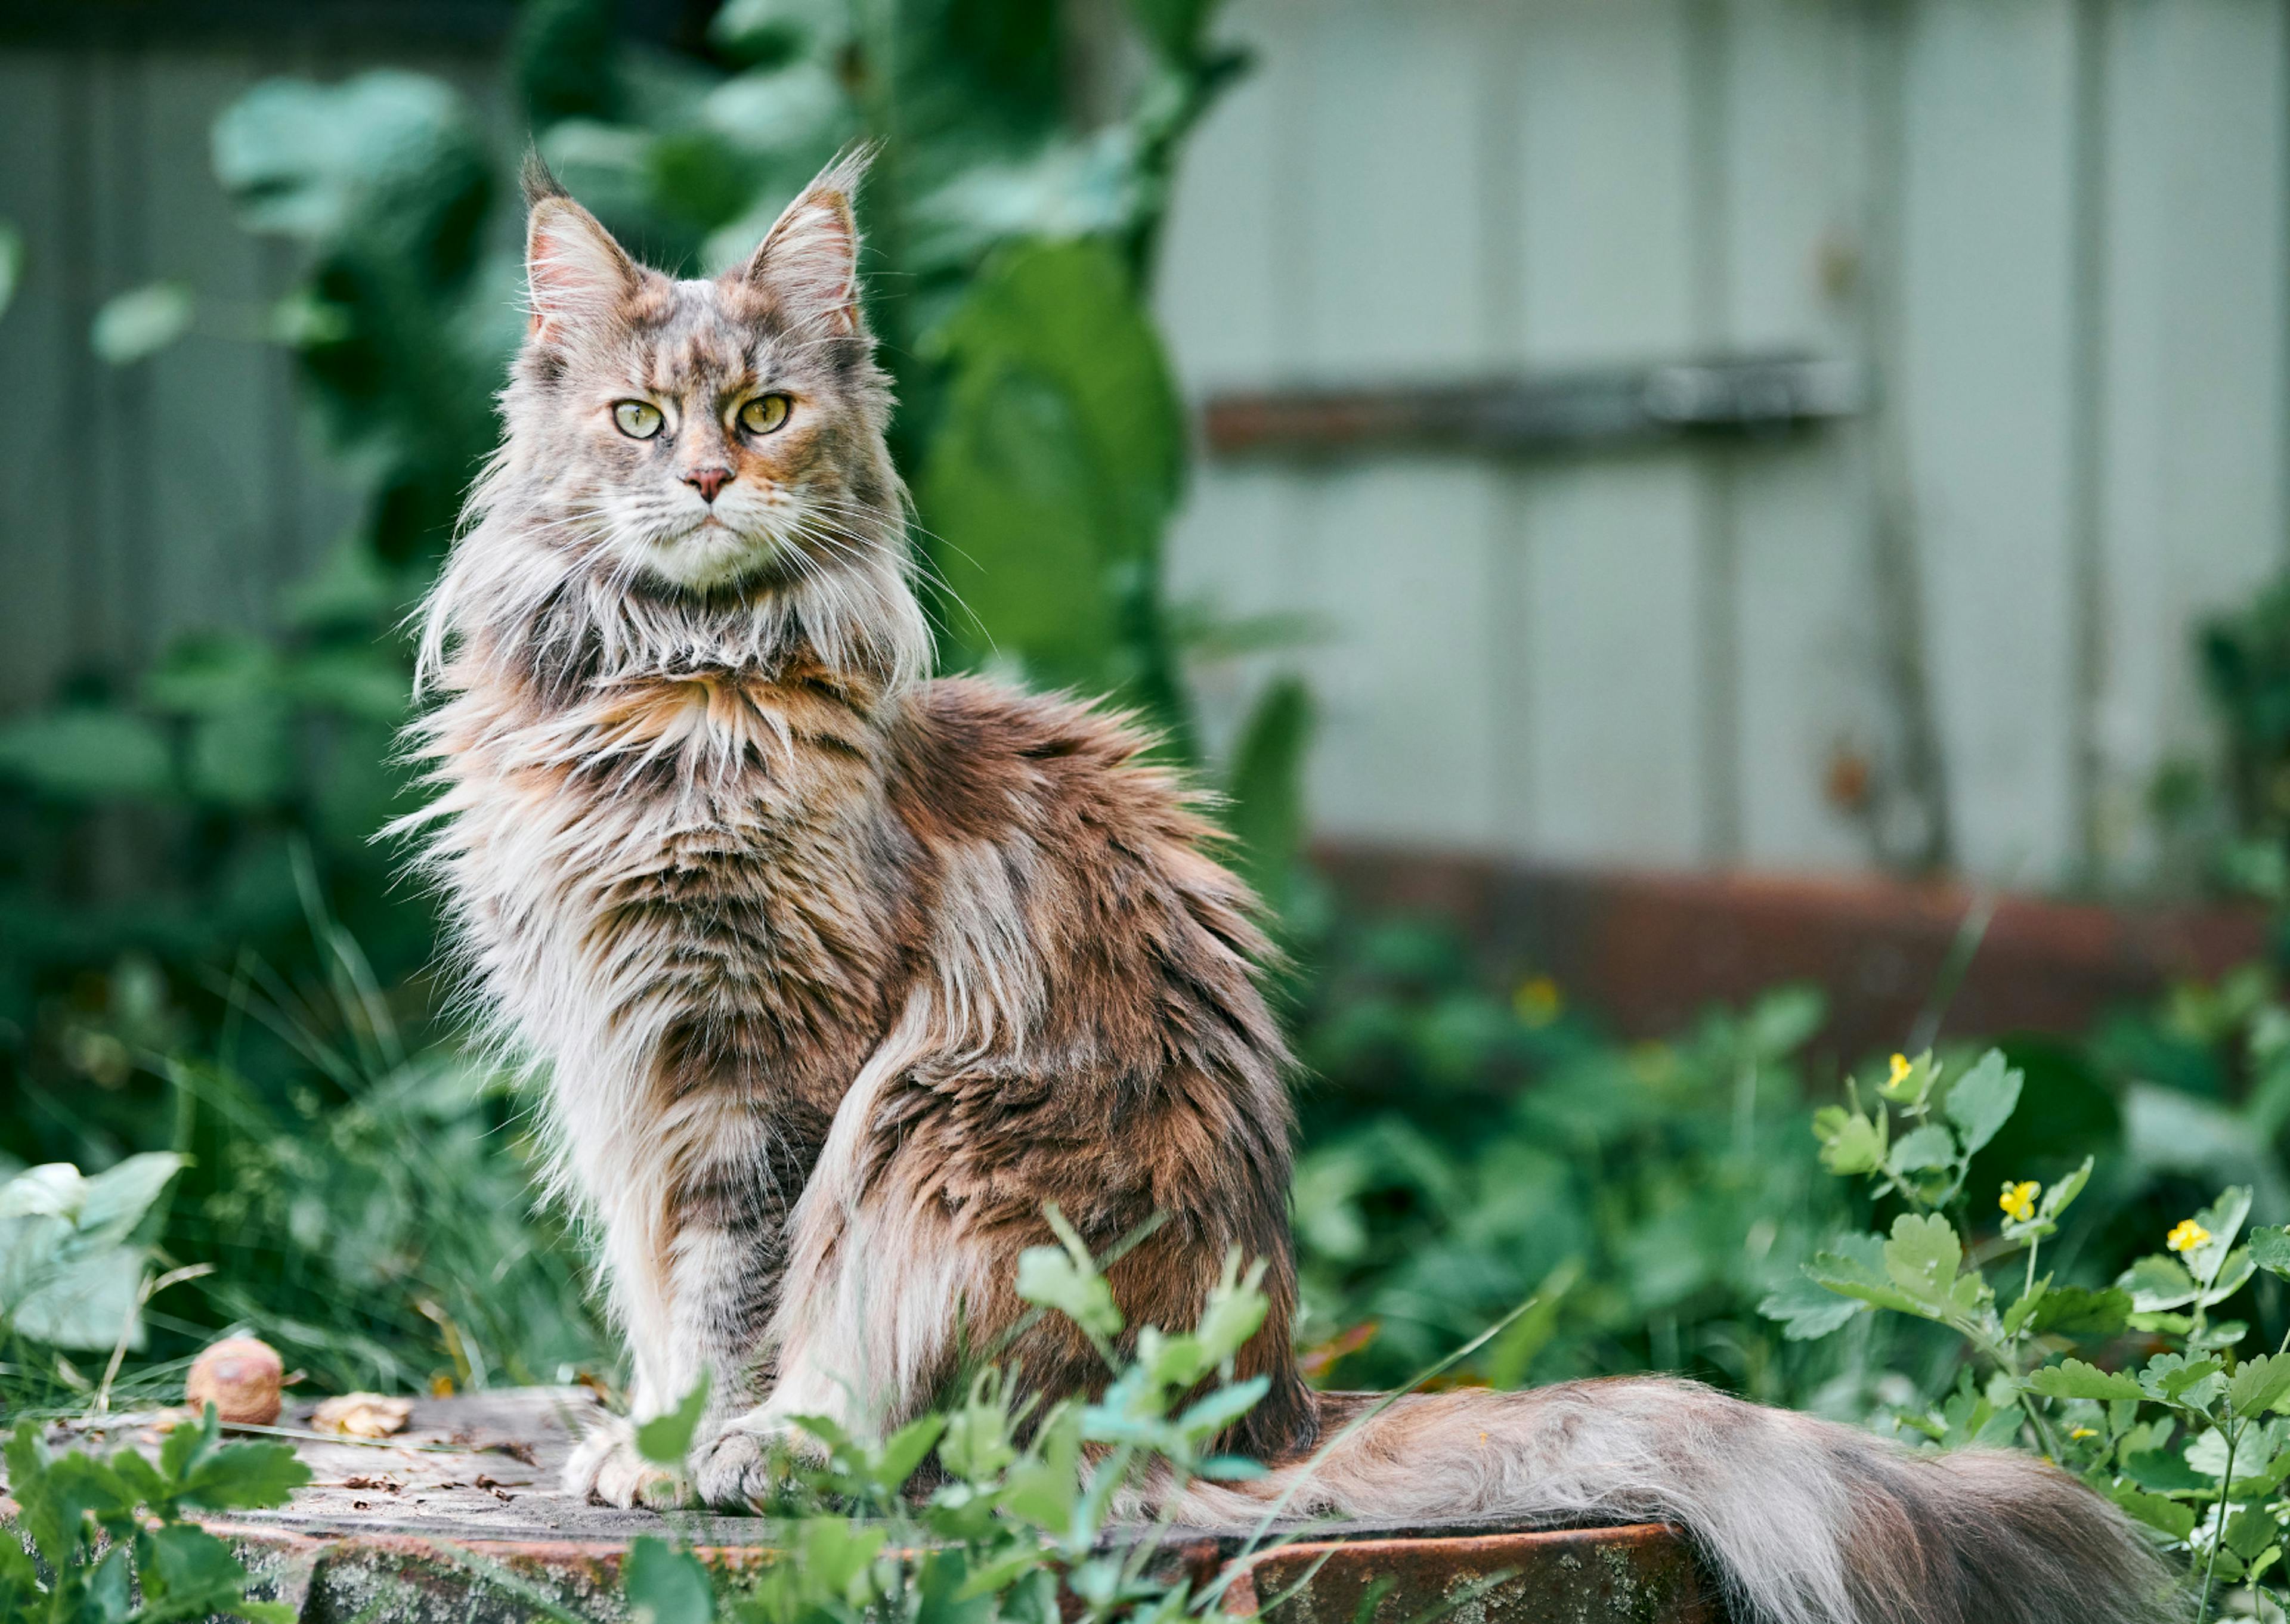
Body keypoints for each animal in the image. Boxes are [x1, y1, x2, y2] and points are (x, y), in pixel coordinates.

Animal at [398, 156, 2180, 1622]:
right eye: (642, 422)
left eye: (765, 413)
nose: (707, 481)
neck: (668, 690)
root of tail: (1263, 1415)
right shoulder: (623, 1071)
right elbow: (663, 1301)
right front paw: (640, 1435)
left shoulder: (765, 1070)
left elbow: (737, 1297)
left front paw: (701, 1446)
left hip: (932, 1138)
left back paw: (800, 1452)